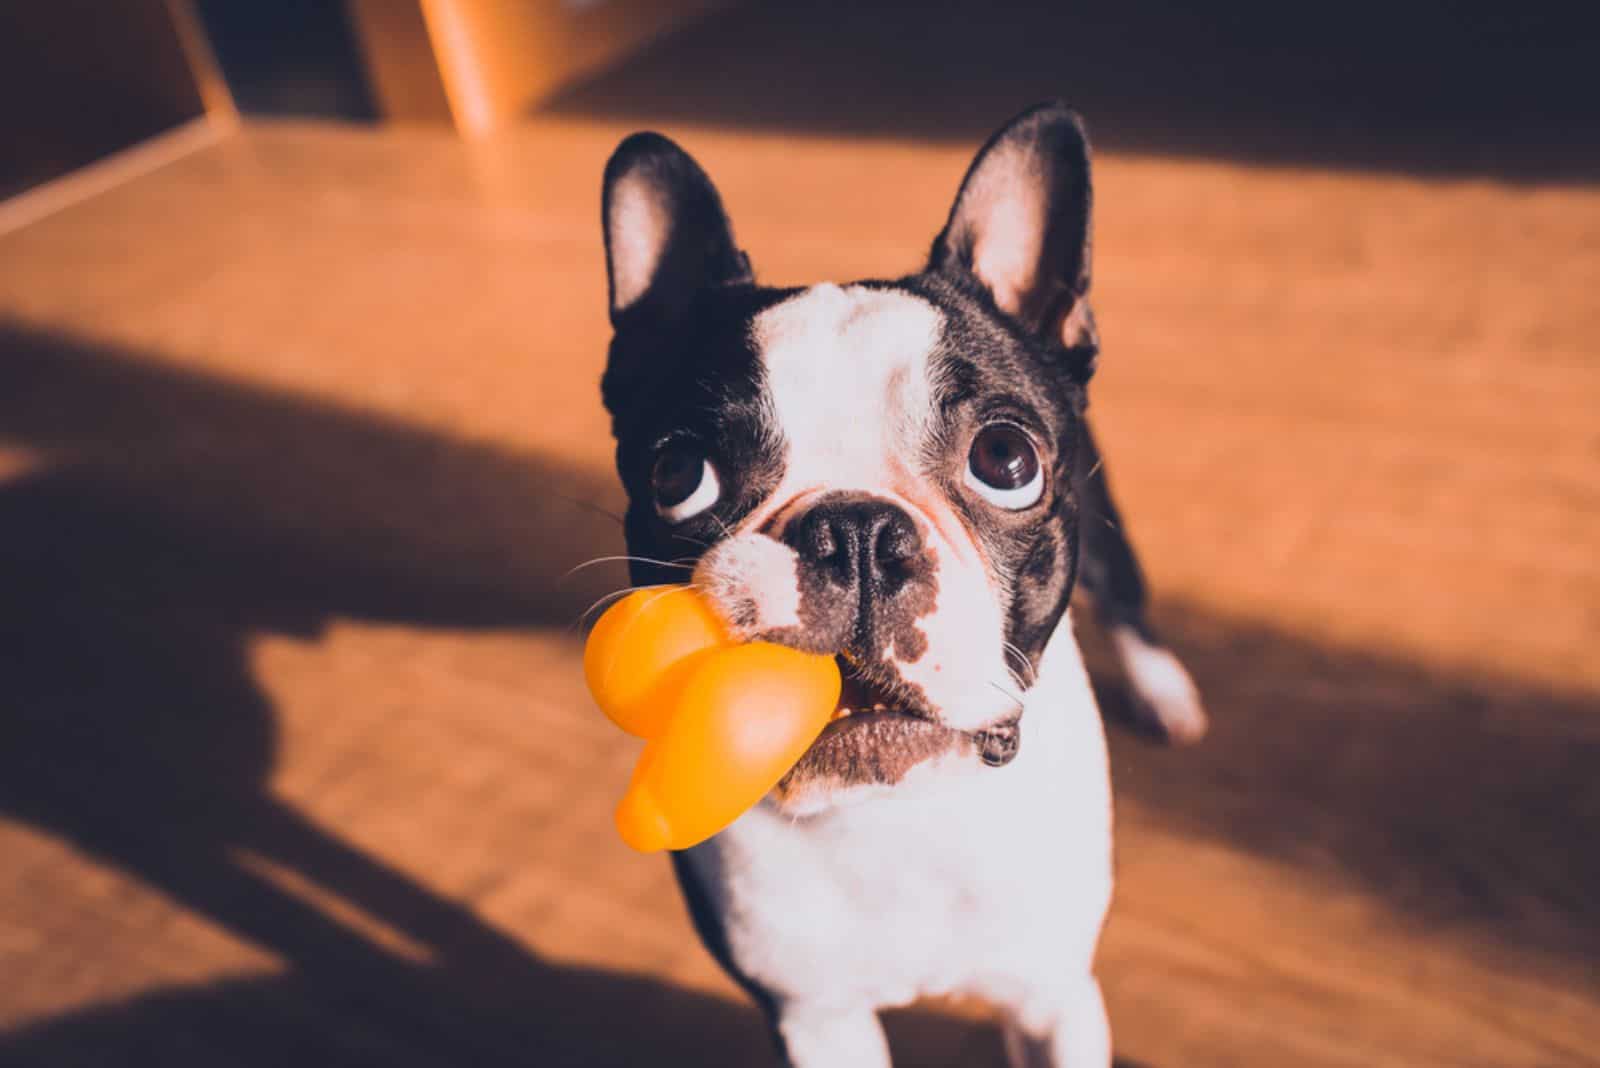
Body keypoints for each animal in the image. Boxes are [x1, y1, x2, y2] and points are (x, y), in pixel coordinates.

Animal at [598, 102, 1203, 1068]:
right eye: (678, 475)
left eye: (1007, 460)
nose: (854, 533)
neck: (889, 811)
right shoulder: (815, 1015)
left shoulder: (1054, 996)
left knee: (1126, 601)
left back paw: (1164, 691)